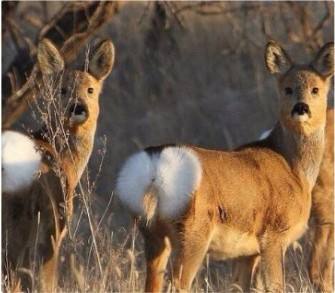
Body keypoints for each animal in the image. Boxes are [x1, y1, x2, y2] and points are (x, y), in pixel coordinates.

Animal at [2, 37, 115, 290]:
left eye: (90, 89)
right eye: (62, 90)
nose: (78, 107)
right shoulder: (54, 224)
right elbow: (45, 281)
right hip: (18, 220)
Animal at [117, 41, 334, 292]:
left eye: (315, 89)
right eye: (287, 88)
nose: (301, 107)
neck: (294, 168)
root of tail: (154, 165)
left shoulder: (248, 253)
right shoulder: (274, 234)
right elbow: (275, 285)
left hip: (152, 232)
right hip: (193, 230)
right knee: (178, 283)